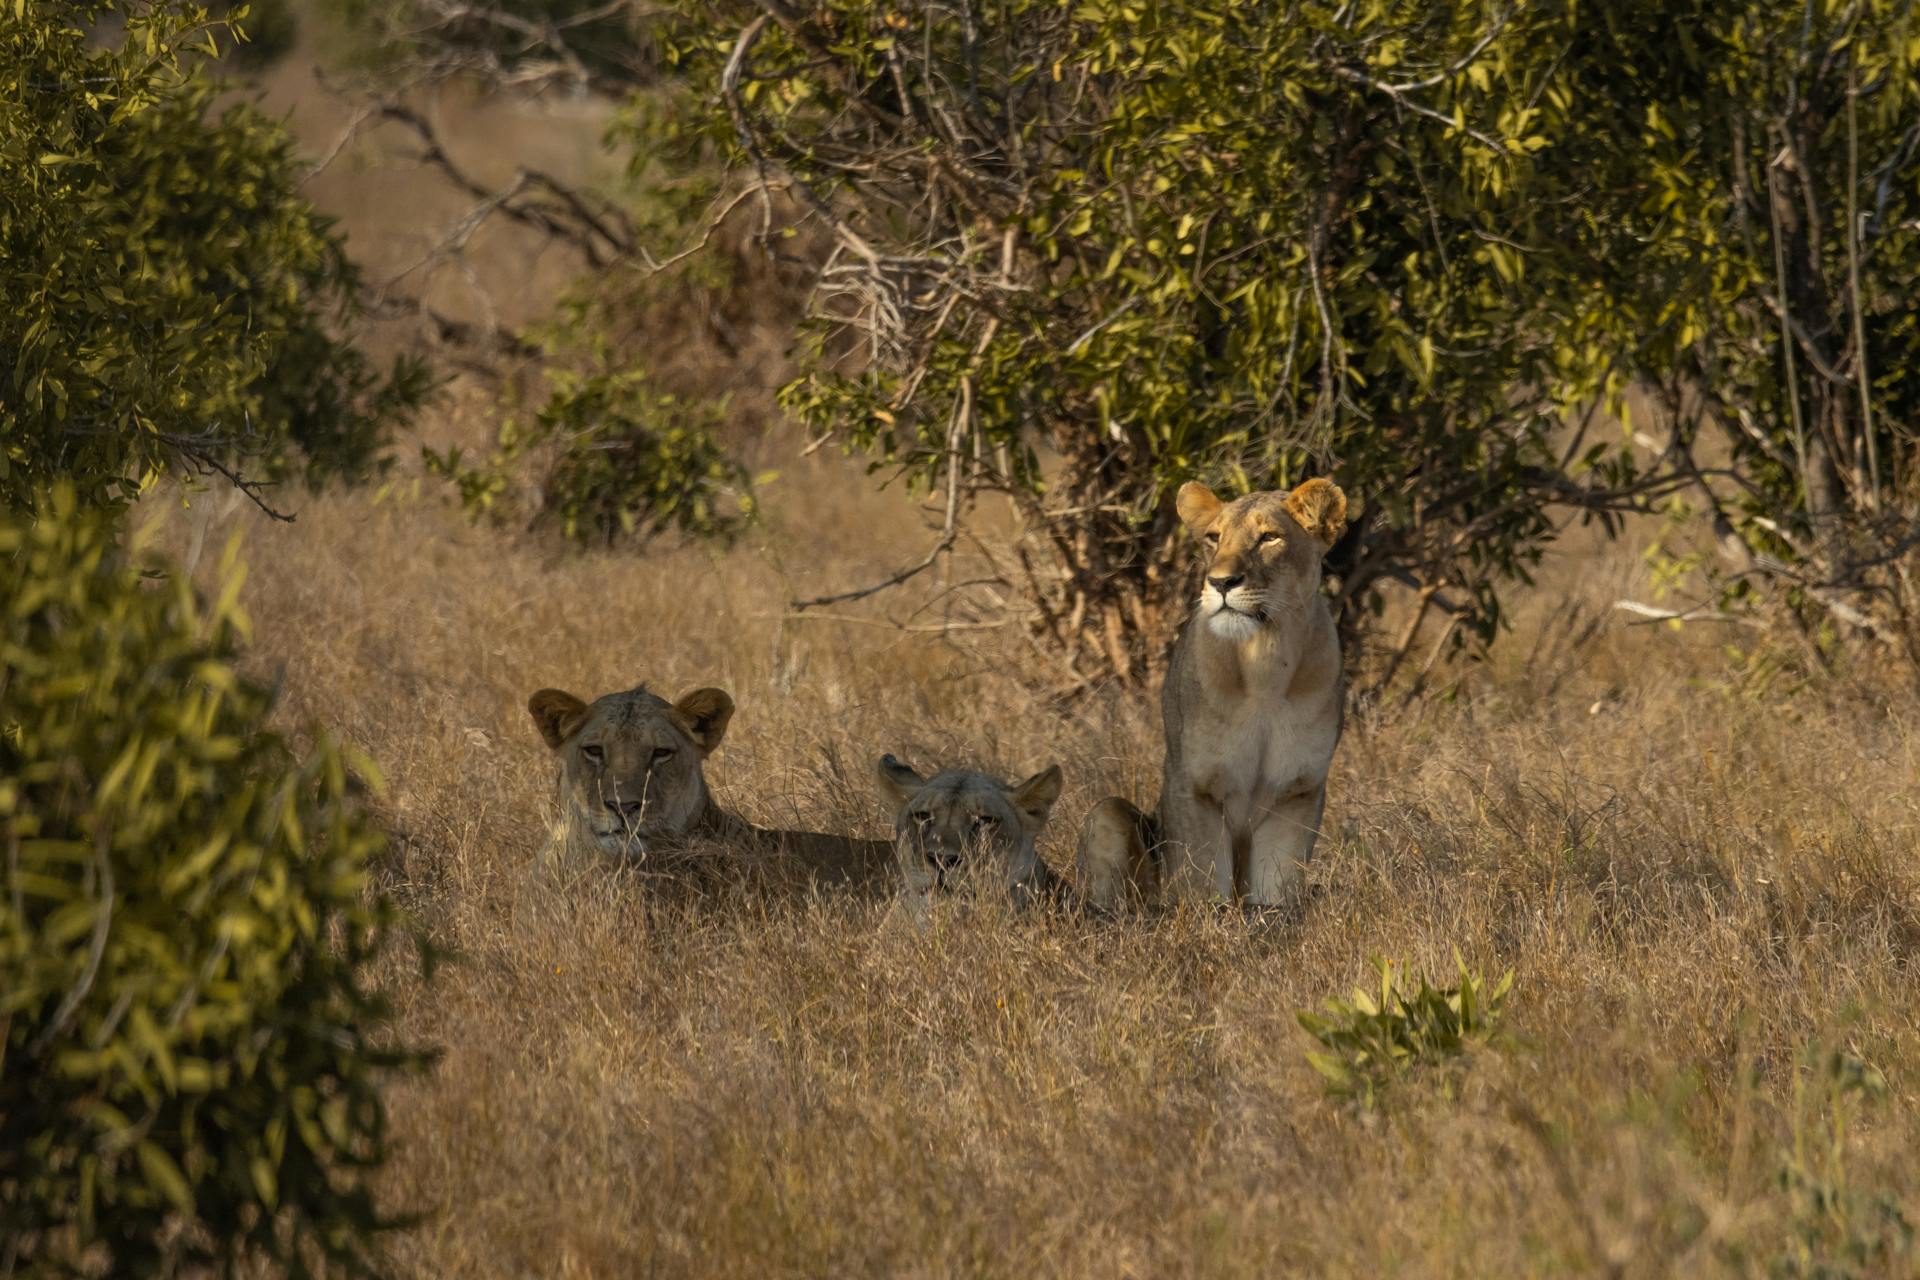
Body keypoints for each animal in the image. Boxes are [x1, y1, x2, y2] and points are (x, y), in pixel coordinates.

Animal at [1082, 479, 1351, 909]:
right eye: (1214, 538)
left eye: (1269, 537)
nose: (1221, 582)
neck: (1265, 664)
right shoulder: (1194, 784)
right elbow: (1199, 879)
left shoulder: (1297, 790)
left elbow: (1276, 888)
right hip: (1106, 812)